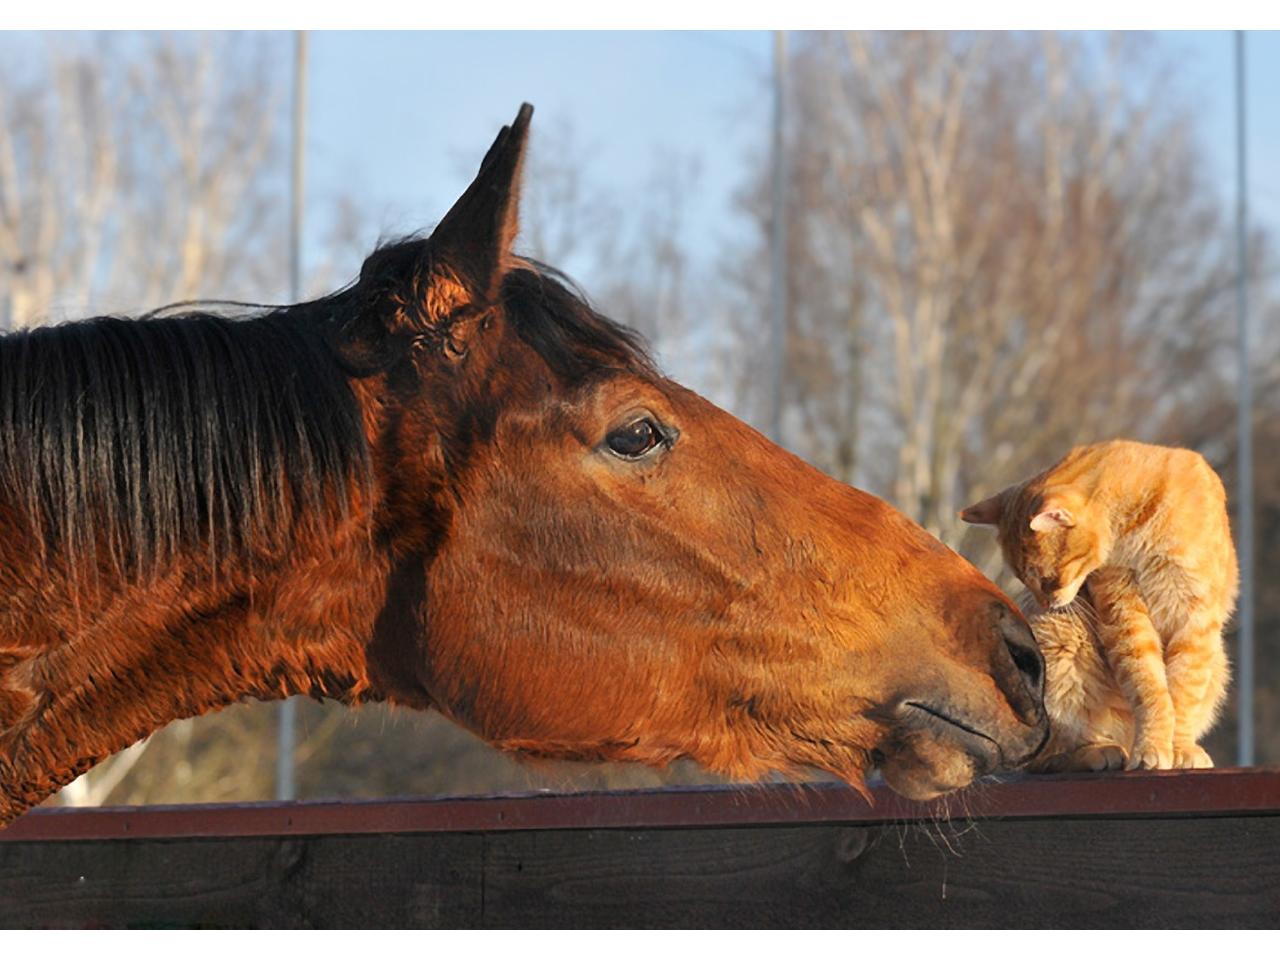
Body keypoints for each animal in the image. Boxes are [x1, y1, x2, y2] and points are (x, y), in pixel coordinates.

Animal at [962, 442, 1233, 773]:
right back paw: (1100, 751)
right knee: (1041, 758)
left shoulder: (1194, 615)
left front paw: (1179, 747)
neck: (1137, 525)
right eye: (1023, 579)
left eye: (1047, 579)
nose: (1046, 603)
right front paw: (1152, 746)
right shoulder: (1123, 608)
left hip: (1218, 662)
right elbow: (1150, 685)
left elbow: (1183, 691)